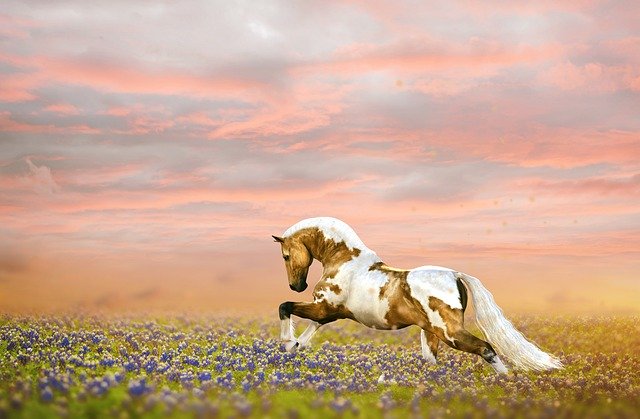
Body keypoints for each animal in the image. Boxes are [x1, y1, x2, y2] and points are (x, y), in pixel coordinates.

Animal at [272, 217, 564, 374]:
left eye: (285, 256)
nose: (296, 286)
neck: (344, 261)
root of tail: (455, 274)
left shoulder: (324, 308)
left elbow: (284, 307)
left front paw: (286, 343)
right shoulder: (328, 313)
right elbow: (309, 330)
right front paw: (294, 346)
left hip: (449, 332)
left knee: (486, 348)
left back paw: (506, 382)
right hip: (431, 332)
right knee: (433, 361)